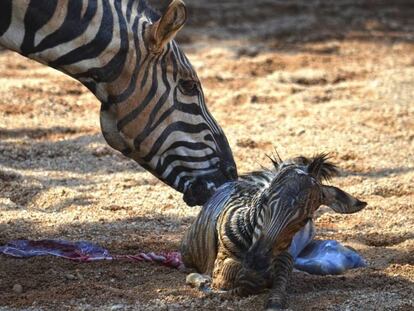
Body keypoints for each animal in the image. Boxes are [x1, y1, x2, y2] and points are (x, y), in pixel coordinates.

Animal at [181, 155, 366, 310]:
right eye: (264, 199)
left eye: (306, 219)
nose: (257, 262)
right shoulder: (221, 263)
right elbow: (239, 277)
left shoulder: (286, 256)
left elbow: (279, 279)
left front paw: (273, 298)